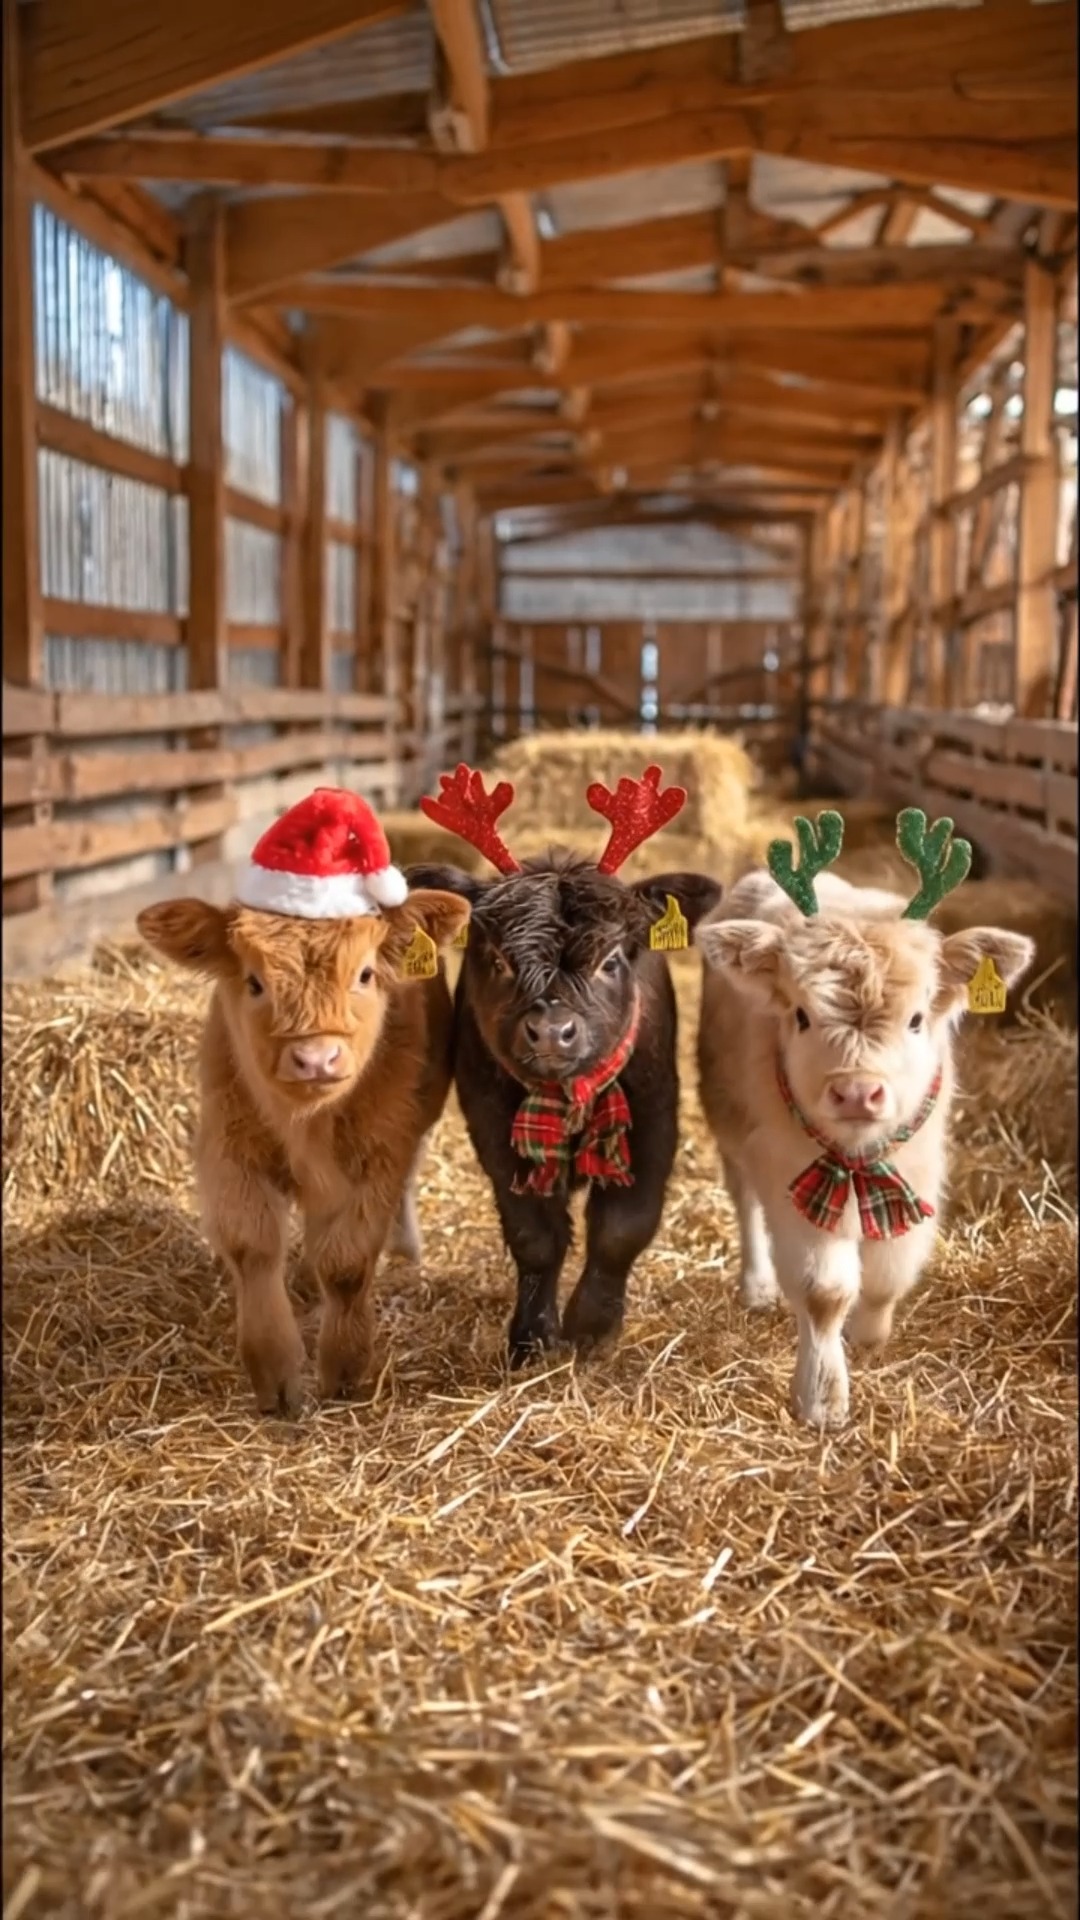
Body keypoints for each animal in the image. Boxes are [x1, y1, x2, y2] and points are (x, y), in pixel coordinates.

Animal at [137, 788, 469, 1414]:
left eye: (364, 974)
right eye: (254, 982)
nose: (315, 1060)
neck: (306, 1124)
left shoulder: (381, 1154)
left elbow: (346, 1264)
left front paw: (343, 1367)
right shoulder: (227, 1146)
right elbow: (253, 1249)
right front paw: (275, 1374)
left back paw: (405, 1251)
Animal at [408, 763, 721, 1365]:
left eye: (611, 960)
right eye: (498, 958)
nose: (552, 1030)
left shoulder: (654, 1119)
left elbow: (623, 1228)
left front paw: (592, 1327)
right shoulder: (491, 1124)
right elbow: (536, 1236)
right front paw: (532, 1336)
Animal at [695, 807, 1035, 1429]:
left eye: (918, 1019)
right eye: (801, 1015)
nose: (856, 1093)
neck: (855, 1155)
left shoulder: (919, 1166)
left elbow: (889, 1273)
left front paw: (870, 1334)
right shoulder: (791, 1170)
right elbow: (823, 1289)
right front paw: (822, 1397)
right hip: (728, 1117)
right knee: (744, 1200)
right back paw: (756, 1285)